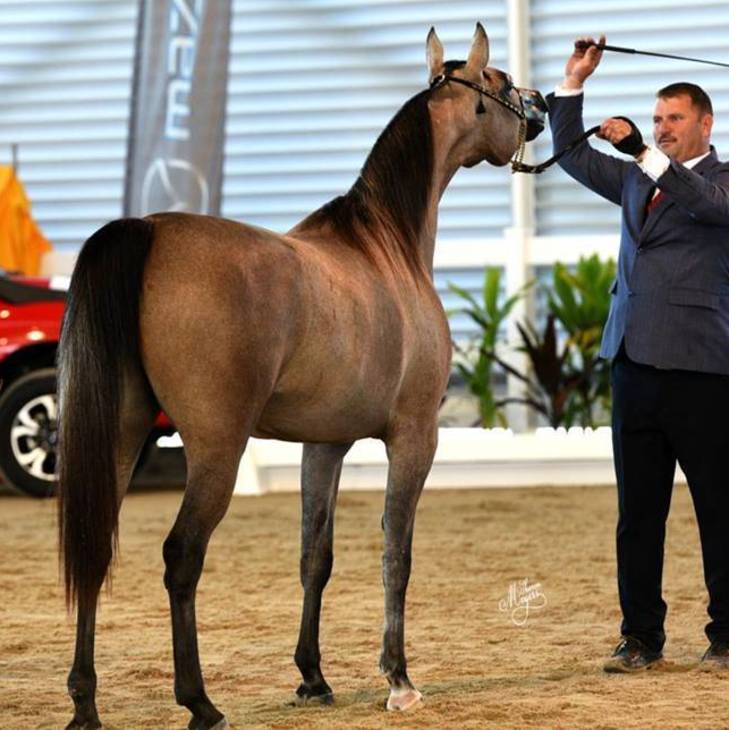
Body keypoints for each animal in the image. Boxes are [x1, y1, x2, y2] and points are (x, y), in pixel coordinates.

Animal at [58, 23, 526, 730]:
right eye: (500, 82)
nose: (542, 110)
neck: (386, 247)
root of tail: (144, 231)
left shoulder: (323, 445)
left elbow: (316, 557)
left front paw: (312, 677)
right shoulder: (415, 437)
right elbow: (397, 554)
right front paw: (398, 678)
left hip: (119, 435)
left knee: (95, 546)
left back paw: (86, 704)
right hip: (215, 449)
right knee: (181, 557)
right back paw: (200, 702)